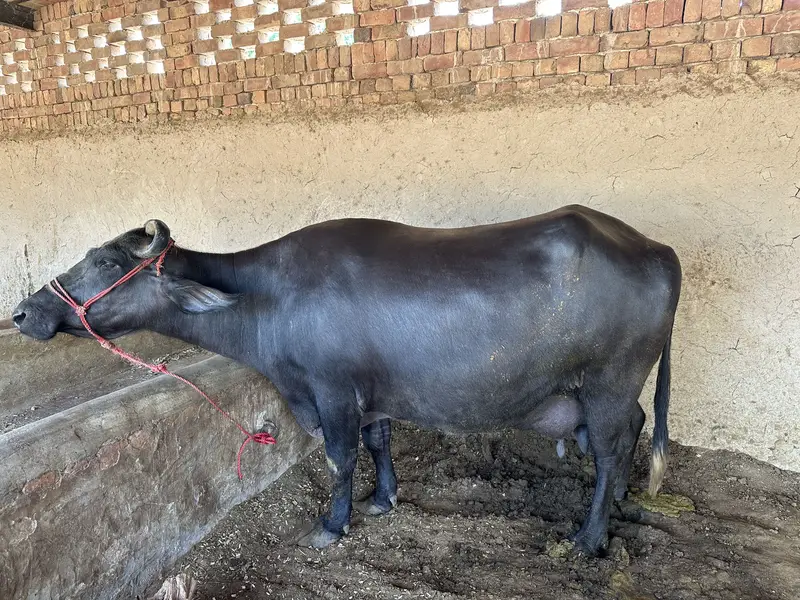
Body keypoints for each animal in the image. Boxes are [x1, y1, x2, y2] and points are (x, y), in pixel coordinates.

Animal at [12, 204, 681, 556]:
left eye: (105, 260)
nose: (23, 311)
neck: (269, 298)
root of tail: (657, 249)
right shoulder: (372, 395)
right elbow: (378, 442)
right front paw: (383, 499)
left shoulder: (330, 392)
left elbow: (339, 457)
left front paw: (331, 525)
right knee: (631, 434)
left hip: (610, 383)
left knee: (613, 448)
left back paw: (589, 536)